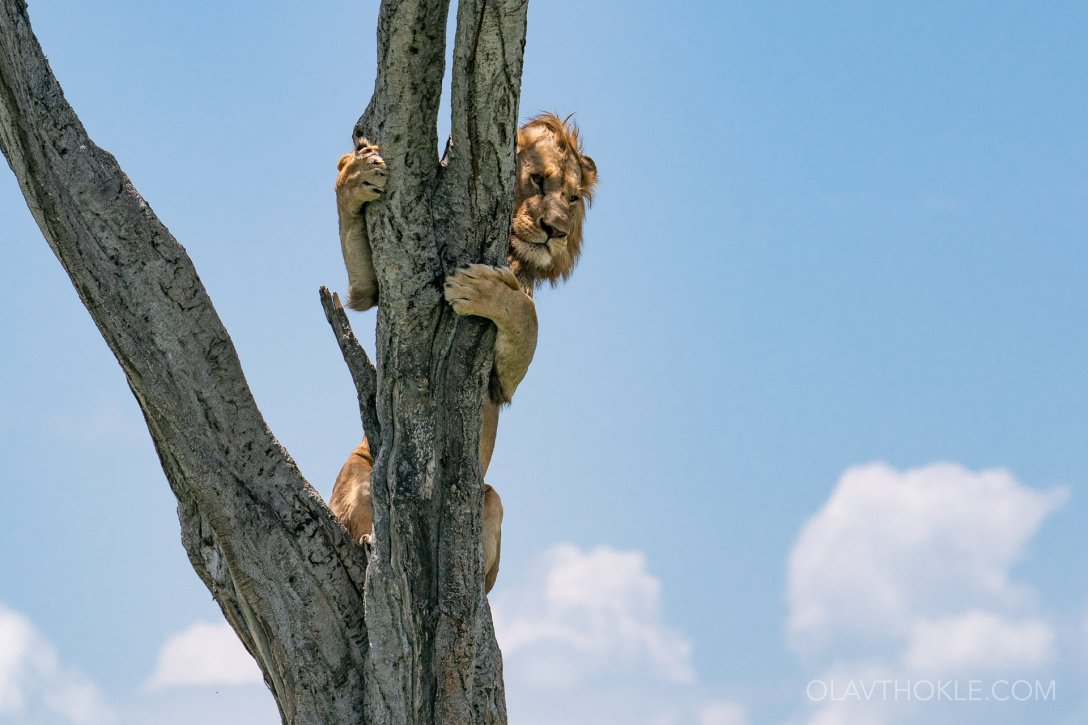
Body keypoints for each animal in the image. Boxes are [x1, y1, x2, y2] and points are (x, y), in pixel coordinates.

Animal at [326, 109, 600, 592]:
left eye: (570, 197)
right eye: (537, 180)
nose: (557, 231)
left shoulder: (503, 379)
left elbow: (528, 314)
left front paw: (478, 288)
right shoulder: (375, 286)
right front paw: (354, 174)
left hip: (492, 498)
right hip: (360, 469)